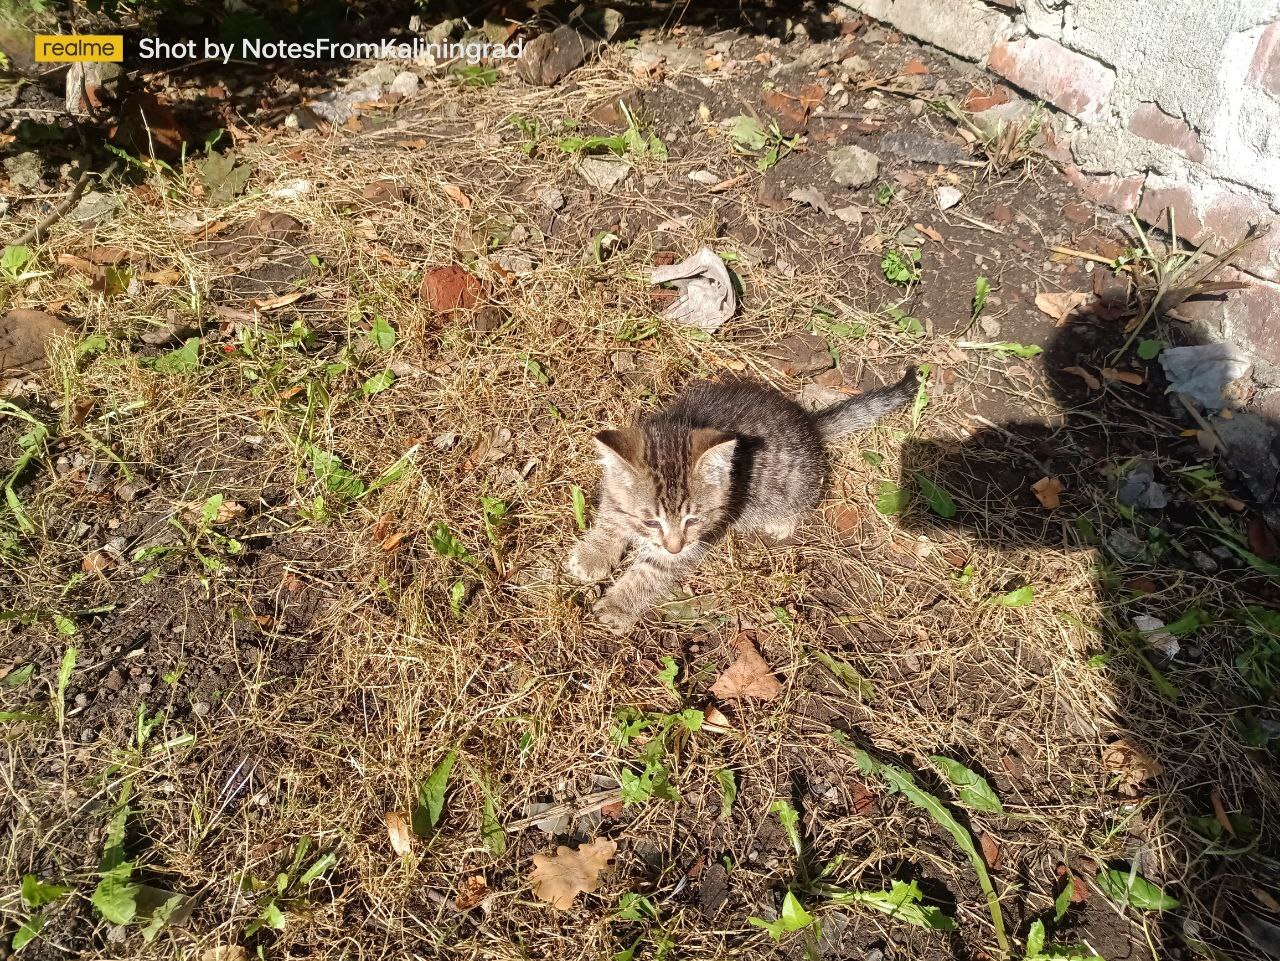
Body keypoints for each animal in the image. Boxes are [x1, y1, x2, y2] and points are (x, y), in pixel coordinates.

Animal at [570, 365, 921, 632]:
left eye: (693, 520)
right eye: (650, 521)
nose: (675, 546)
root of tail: (808, 424)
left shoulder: (697, 540)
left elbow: (650, 572)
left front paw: (617, 606)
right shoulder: (614, 500)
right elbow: (610, 521)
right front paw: (592, 555)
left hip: (794, 486)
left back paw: (781, 523)